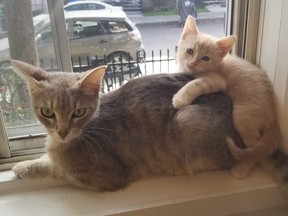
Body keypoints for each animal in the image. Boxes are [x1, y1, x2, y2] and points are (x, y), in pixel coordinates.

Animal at [11, 60, 288, 192]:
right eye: (47, 112)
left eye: (78, 111)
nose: (62, 131)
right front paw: (32, 161)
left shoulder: (104, 177)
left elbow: (57, 169)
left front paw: (26, 166)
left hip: (188, 121)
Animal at [173, 15, 282, 179]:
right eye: (189, 51)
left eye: (205, 58)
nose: (192, 63)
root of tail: (273, 114)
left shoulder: (217, 80)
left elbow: (196, 83)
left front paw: (180, 98)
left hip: (242, 116)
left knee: (254, 151)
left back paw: (241, 169)